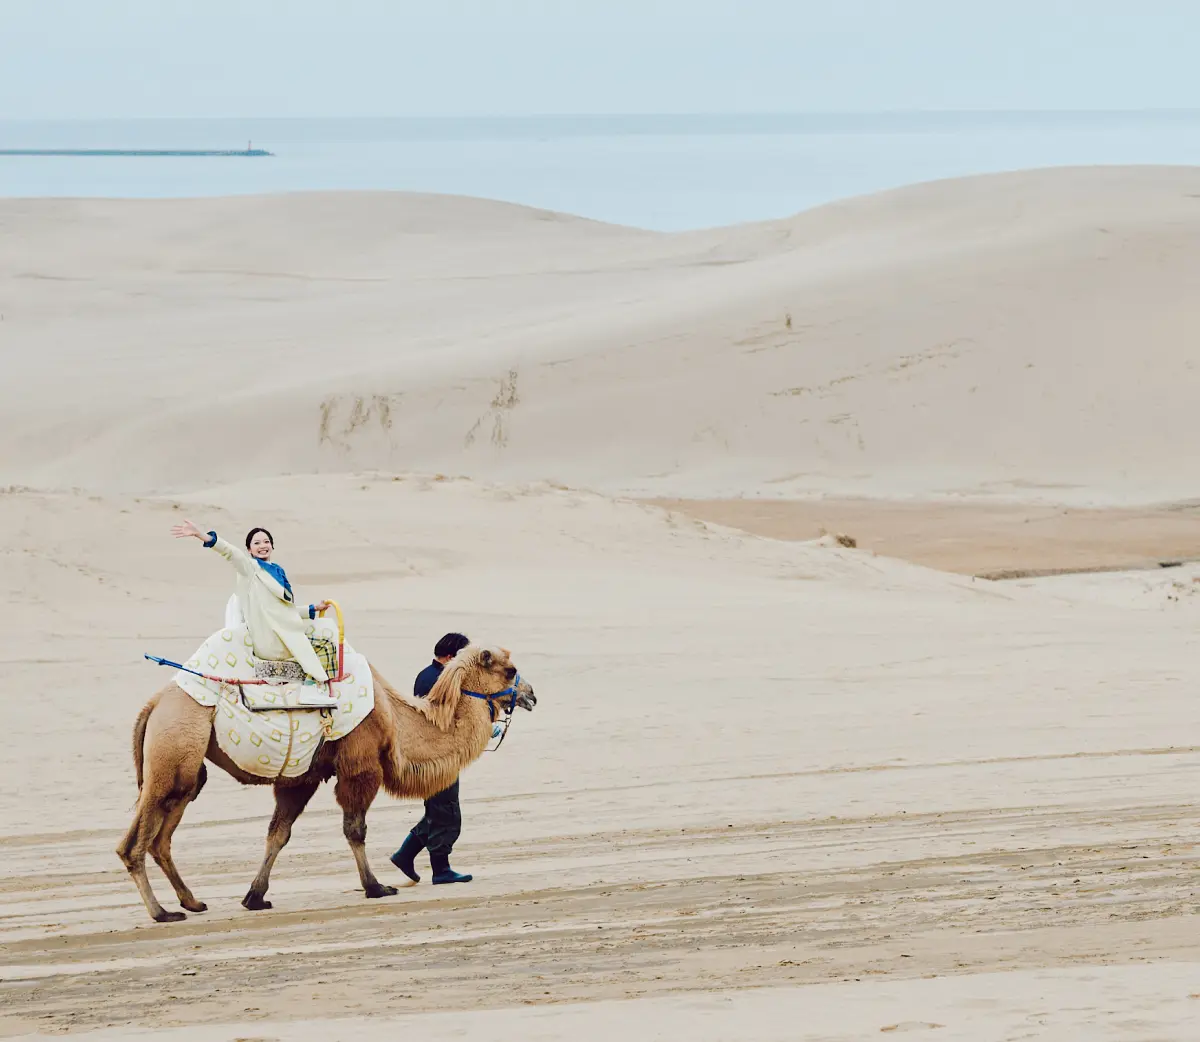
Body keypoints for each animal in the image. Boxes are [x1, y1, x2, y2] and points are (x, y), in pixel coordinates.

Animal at [114, 648, 537, 921]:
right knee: (136, 841)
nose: (531, 694)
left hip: (185, 767)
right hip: (175, 751)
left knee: (161, 835)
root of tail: (153, 704)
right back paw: (162, 912)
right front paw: (376, 887)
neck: (396, 719)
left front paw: (255, 897)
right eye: (510, 670)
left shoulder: (302, 779)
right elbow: (355, 829)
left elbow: (278, 834)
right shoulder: (360, 768)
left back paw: (192, 903)